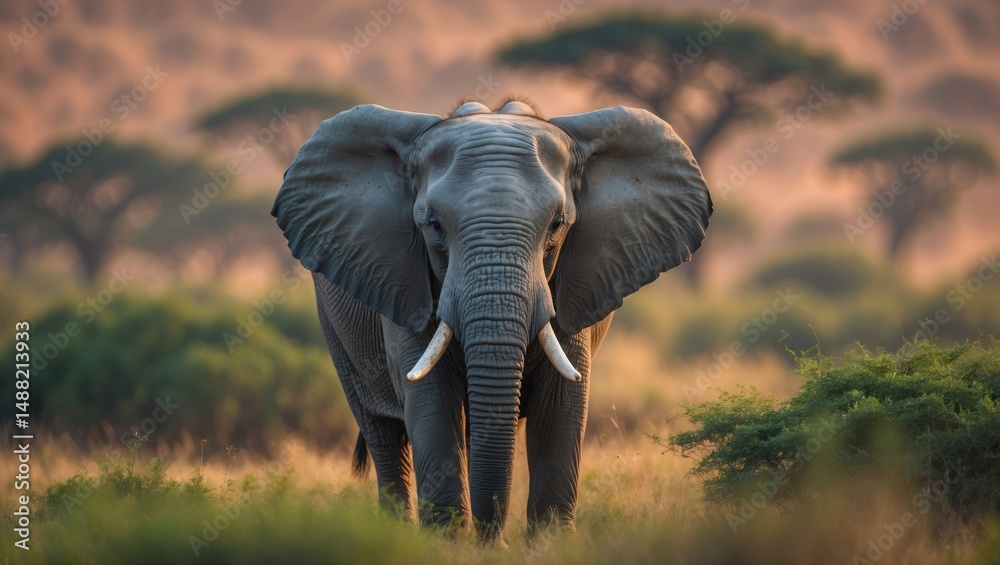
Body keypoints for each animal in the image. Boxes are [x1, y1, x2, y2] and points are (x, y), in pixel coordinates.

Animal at [271, 98, 712, 543]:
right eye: (433, 226)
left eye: (557, 225)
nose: (491, 542)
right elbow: (431, 397)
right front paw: (447, 544)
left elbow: (562, 401)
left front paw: (549, 543)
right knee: (383, 434)